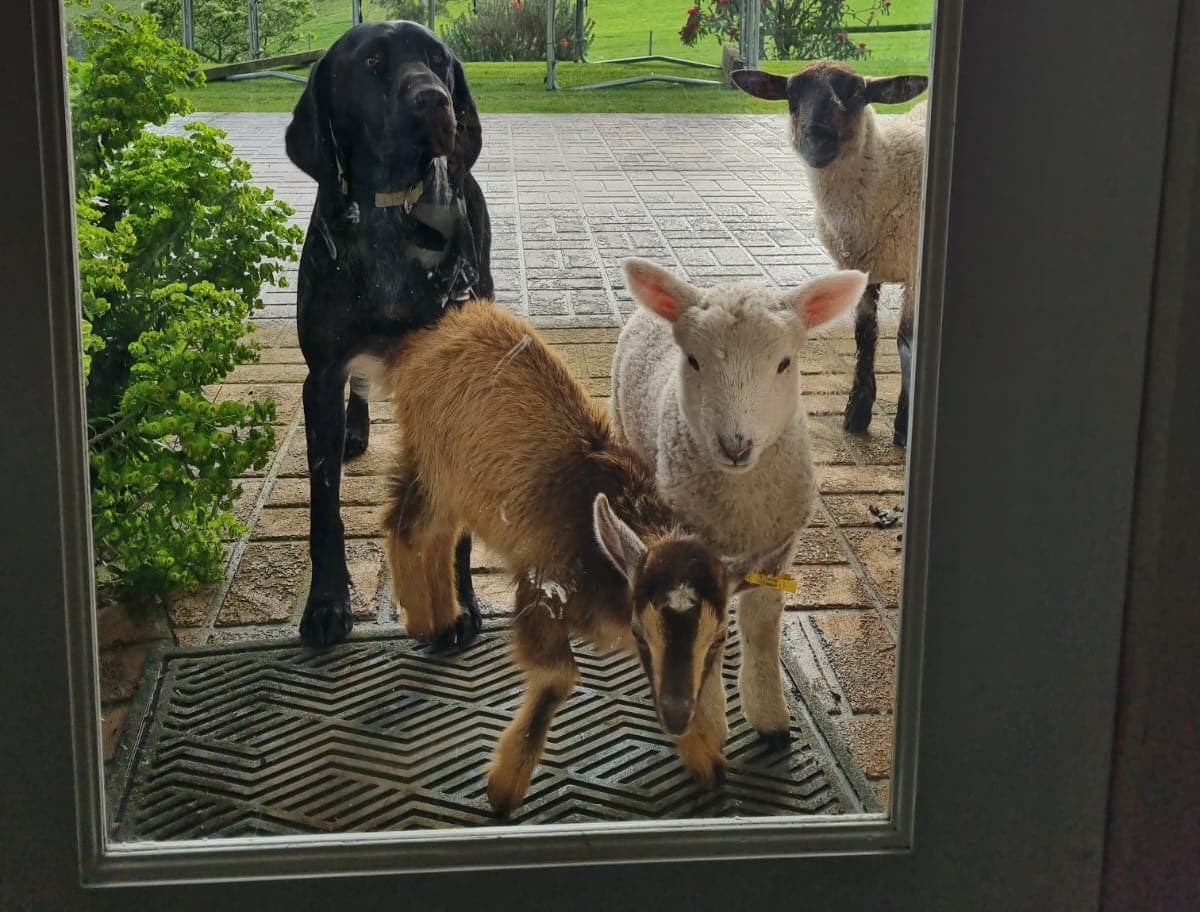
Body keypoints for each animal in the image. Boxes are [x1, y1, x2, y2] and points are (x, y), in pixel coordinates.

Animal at [375, 299, 792, 816]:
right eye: (640, 630)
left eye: (717, 640)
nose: (677, 718)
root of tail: (438, 332)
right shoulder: (542, 583)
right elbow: (558, 676)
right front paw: (504, 788)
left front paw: (706, 758)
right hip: (433, 457)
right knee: (407, 522)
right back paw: (420, 619)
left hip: (455, 480)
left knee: (440, 532)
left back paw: (442, 617)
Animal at [611, 258, 868, 746]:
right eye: (693, 360)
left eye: (785, 363)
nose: (736, 445)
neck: (740, 502)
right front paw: (709, 722)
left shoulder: (780, 539)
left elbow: (762, 623)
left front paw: (769, 715)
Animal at [732, 62, 929, 446]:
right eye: (792, 96)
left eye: (855, 94)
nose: (817, 140)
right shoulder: (861, 266)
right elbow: (865, 335)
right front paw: (857, 412)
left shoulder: (914, 265)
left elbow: (906, 341)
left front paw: (903, 425)